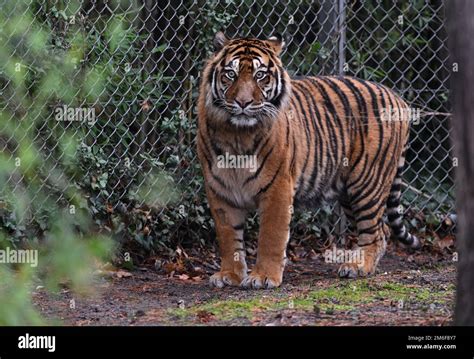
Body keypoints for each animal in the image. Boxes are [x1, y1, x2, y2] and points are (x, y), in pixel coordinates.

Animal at [195, 32, 418, 292]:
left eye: (260, 75)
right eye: (230, 74)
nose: (243, 102)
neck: (237, 135)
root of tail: (398, 99)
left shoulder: (278, 188)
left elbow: (271, 236)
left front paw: (263, 277)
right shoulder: (219, 191)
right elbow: (228, 238)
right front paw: (229, 275)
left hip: (368, 183)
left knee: (375, 231)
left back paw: (358, 267)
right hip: (349, 191)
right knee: (379, 230)